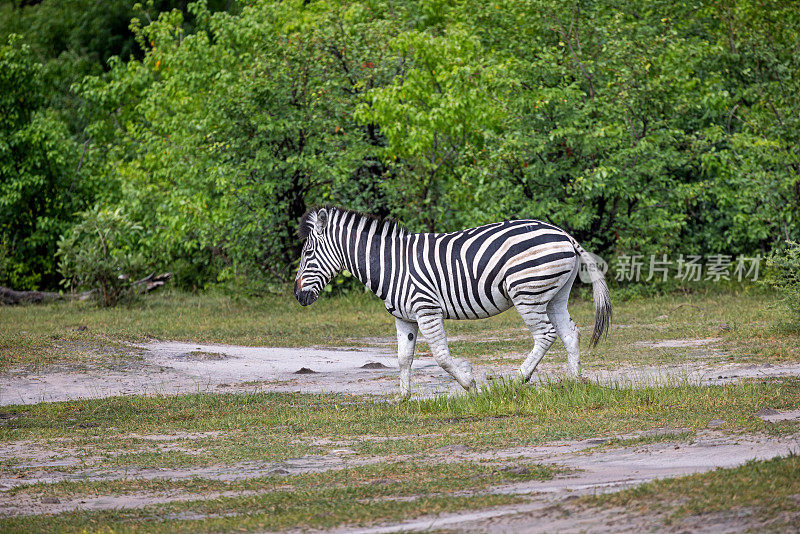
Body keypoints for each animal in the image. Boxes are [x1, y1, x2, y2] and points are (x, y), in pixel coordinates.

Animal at [294, 207, 612, 400]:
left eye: (307, 253)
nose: (298, 297)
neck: (392, 265)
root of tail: (564, 235)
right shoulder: (404, 317)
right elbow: (403, 358)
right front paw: (402, 397)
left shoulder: (427, 310)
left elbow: (441, 356)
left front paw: (470, 383)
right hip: (555, 295)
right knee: (570, 334)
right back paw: (574, 383)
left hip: (527, 293)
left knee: (545, 335)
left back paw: (517, 380)